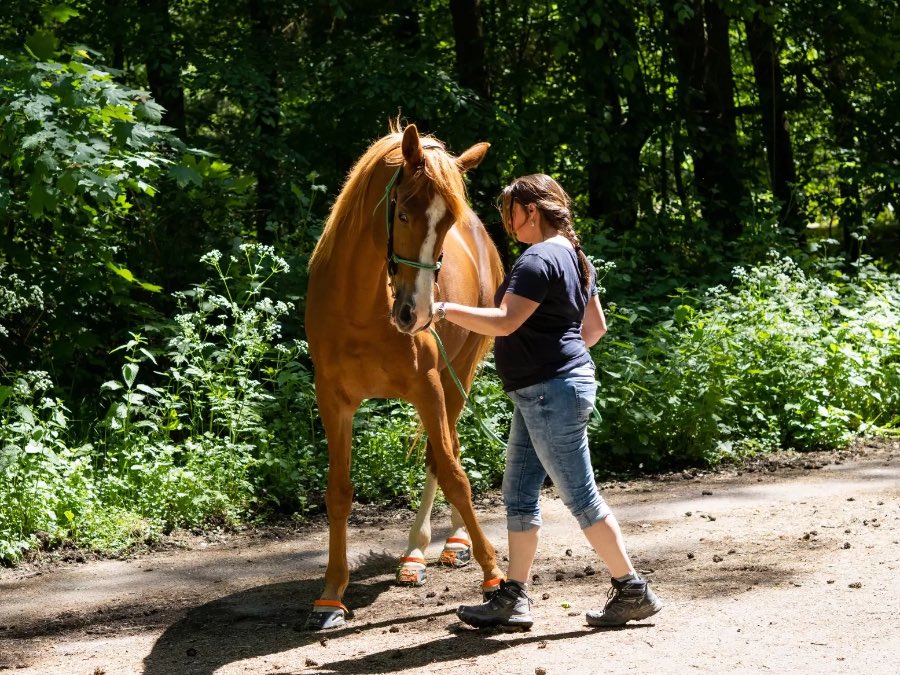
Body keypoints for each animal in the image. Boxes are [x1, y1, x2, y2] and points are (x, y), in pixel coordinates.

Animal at [306, 124, 506, 632]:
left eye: (448, 222)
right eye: (401, 212)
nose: (415, 314)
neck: (362, 308)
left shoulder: (429, 388)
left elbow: (454, 474)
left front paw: (494, 574)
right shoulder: (332, 401)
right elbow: (339, 492)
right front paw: (331, 594)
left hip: (459, 379)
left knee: (444, 455)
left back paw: (446, 544)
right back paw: (419, 552)